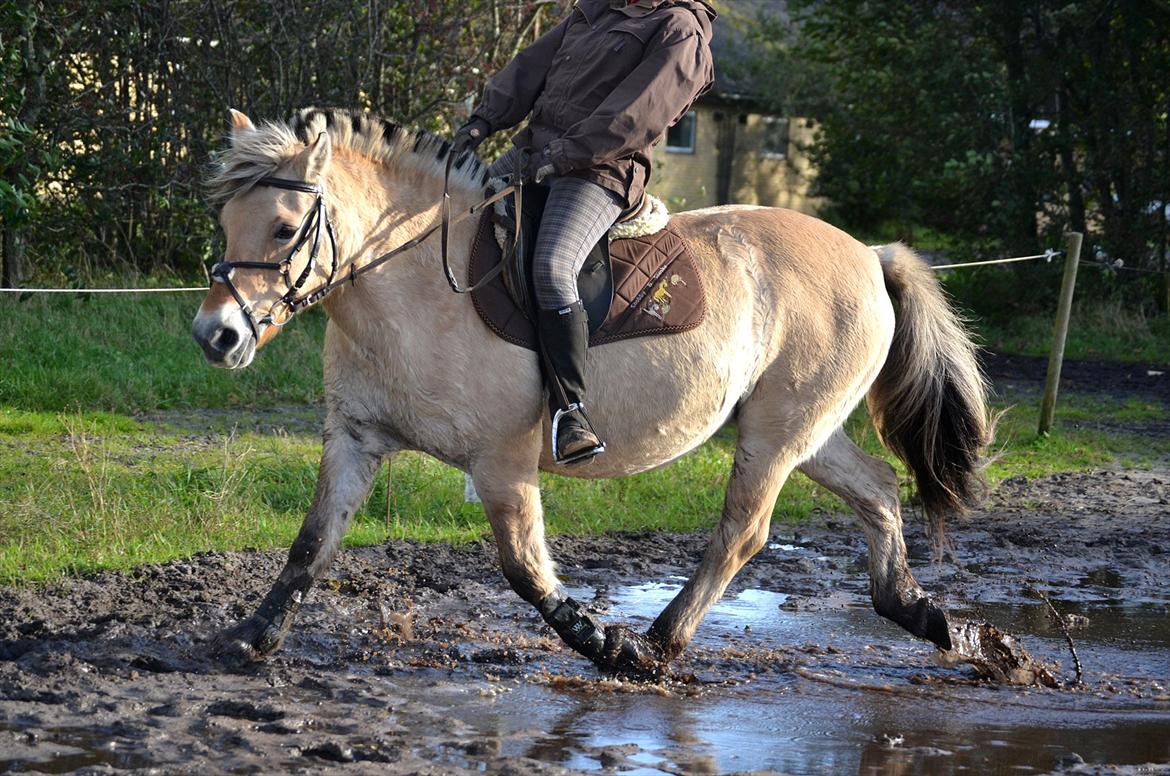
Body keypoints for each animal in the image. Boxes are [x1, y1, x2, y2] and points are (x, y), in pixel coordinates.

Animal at [191, 106, 987, 678]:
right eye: (224, 221)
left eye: (285, 229)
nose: (215, 337)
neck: (415, 284)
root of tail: (870, 254)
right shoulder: (355, 440)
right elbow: (310, 545)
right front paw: (248, 639)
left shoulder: (502, 463)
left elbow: (524, 568)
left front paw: (602, 644)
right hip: (807, 431)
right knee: (878, 489)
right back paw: (932, 619)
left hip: (777, 433)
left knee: (743, 532)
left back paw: (657, 647)